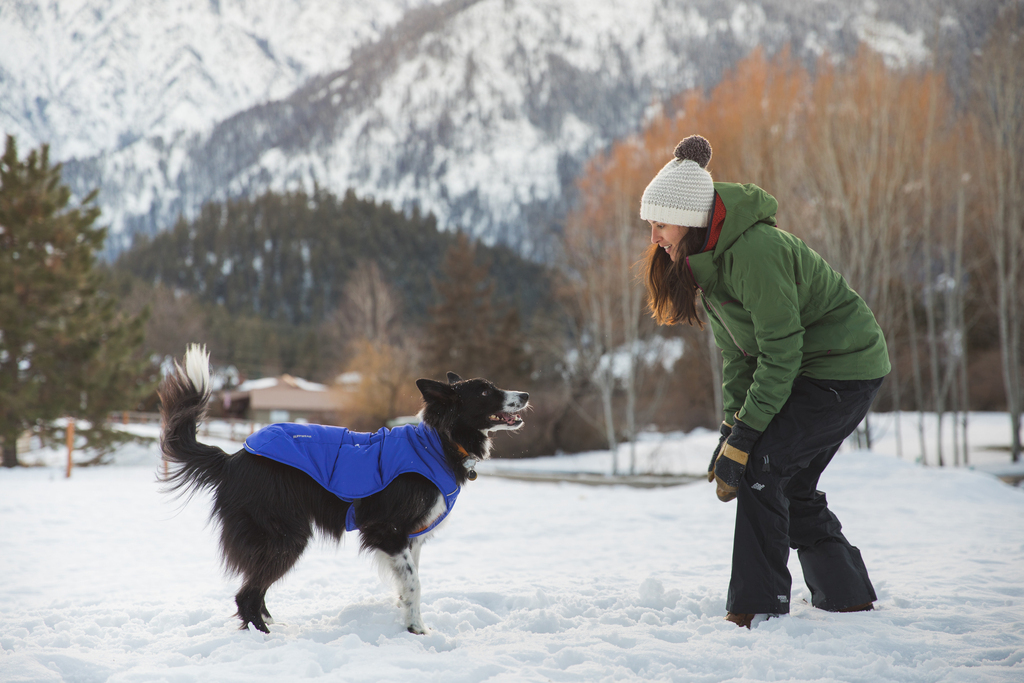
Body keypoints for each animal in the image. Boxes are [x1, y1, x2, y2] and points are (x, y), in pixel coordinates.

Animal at [161, 348, 528, 634]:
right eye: (485, 392)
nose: (525, 395)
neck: (439, 443)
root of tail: (233, 458)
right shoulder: (386, 529)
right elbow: (415, 582)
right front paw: (417, 629)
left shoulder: (413, 536)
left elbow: (410, 579)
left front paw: (408, 618)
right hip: (284, 537)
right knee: (246, 595)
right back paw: (264, 636)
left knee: (255, 591)